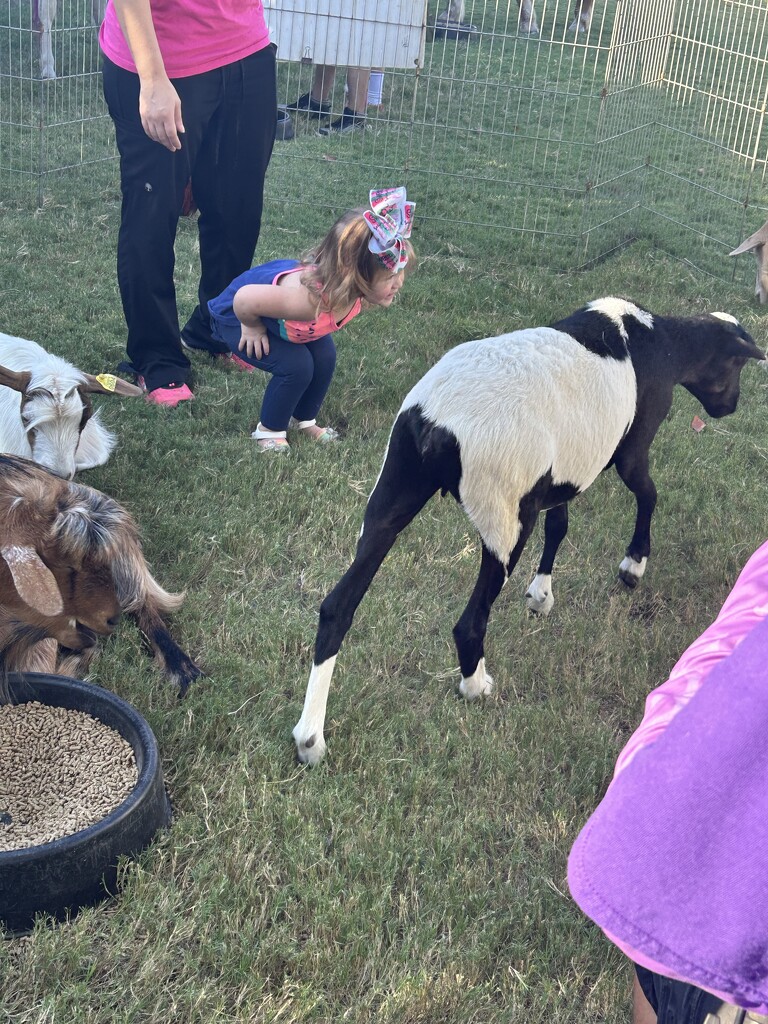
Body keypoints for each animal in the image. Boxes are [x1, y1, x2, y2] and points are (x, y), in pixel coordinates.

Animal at [292, 294, 765, 761]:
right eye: (736, 365)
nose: (731, 407)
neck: (662, 339)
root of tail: (438, 424)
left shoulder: (560, 475)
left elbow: (560, 525)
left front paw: (541, 594)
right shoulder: (631, 449)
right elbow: (647, 495)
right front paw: (633, 565)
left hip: (392, 496)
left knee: (337, 608)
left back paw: (310, 738)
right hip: (505, 517)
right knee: (470, 622)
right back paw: (475, 687)